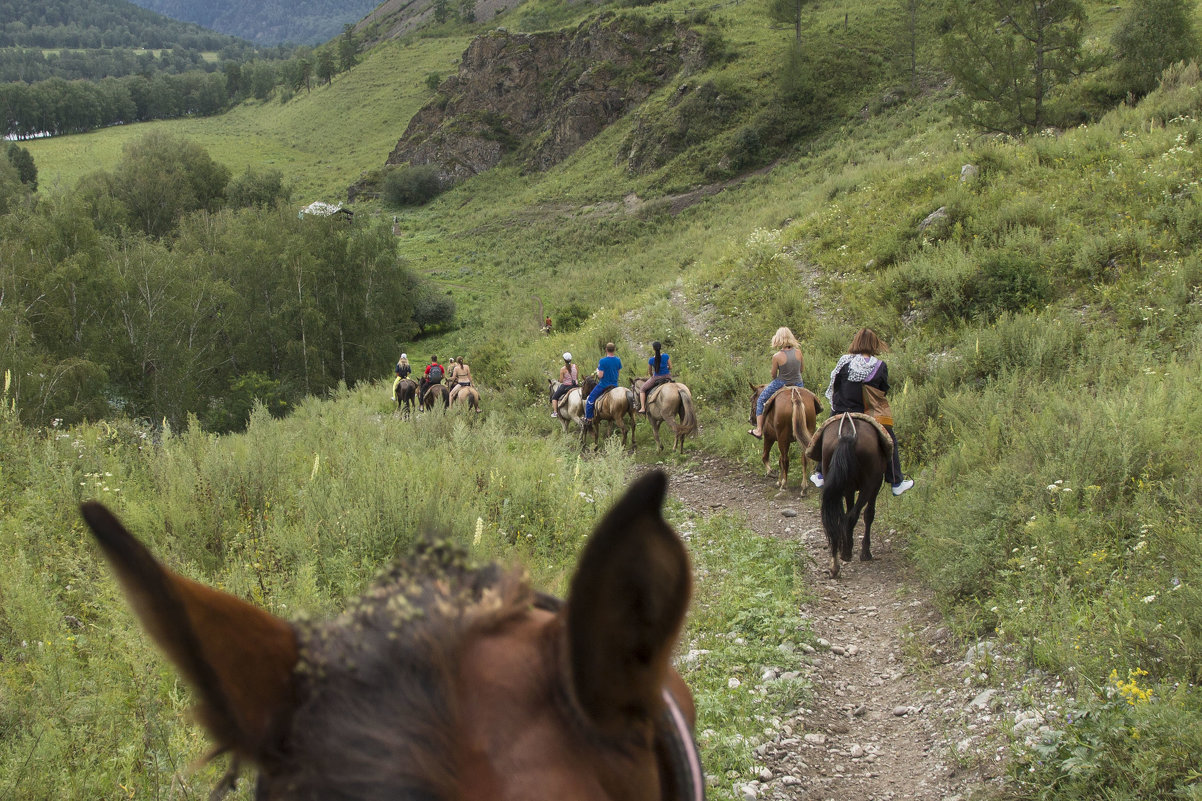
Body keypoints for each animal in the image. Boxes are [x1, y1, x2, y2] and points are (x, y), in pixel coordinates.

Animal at [822, 411, 889, 574]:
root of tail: (847, 435)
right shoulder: (875, 484)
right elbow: (869, 514)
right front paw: (865, 552)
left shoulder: (848, 488)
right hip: (868, 485)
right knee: (852, 516)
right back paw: (847, 552)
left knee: (836, 518)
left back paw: (835, 565)